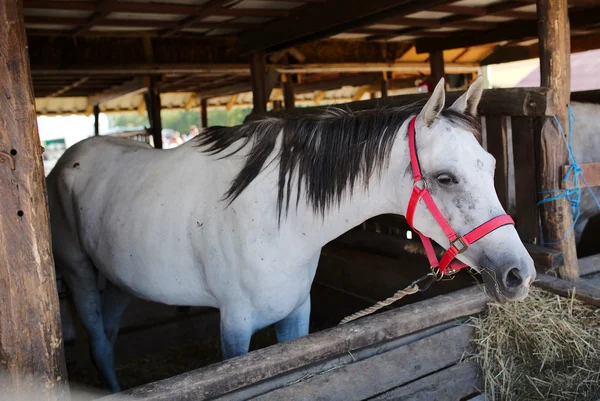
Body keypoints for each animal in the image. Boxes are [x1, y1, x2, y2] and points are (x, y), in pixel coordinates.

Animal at [48, 77, 536, 390]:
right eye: (445, 178)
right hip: (78, 274)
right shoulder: (235, 326)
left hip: (120, 280)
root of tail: (67, 159)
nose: (521, 274)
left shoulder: (296, 314)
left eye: (490, 166)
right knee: (98, 340)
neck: (273, 220)